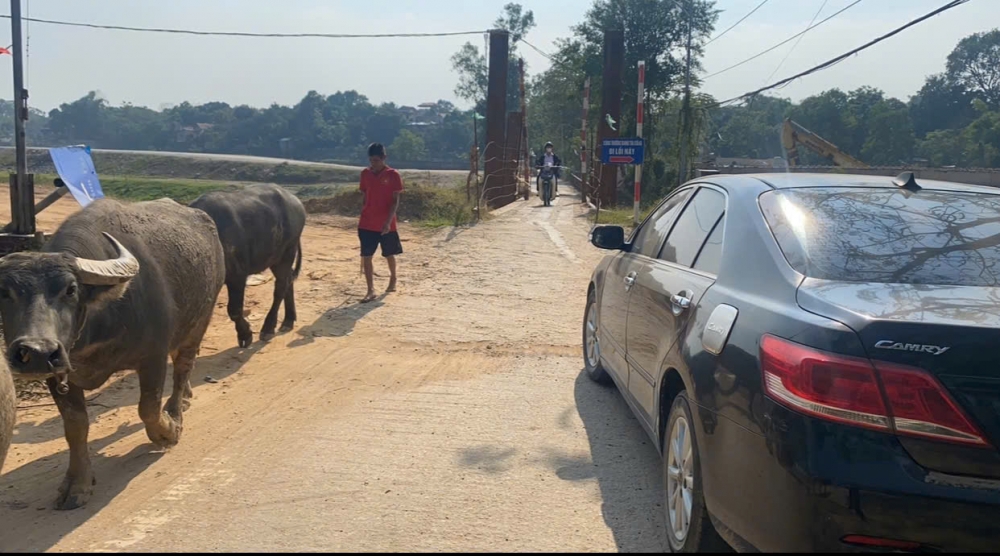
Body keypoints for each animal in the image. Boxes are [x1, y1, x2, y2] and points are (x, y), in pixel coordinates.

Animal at [0, 199, 226, 508]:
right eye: (3, 292)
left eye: (71, 289)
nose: (36, 352)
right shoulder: (58, 372)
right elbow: (75, 426)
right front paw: (78, 483)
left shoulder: (153, 356)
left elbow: (148, 408)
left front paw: (167, 432)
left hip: (199, 321)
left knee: (182, 368)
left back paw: (177, 408)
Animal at [191, 185, 304, 346]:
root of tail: (297, 202)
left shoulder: (237, 276)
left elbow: (234, 310)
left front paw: (245, 335)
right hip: (275, 257)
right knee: (289, 279)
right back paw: (288, 320)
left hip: (288, 251)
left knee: (281, 287)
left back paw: (268, 328)